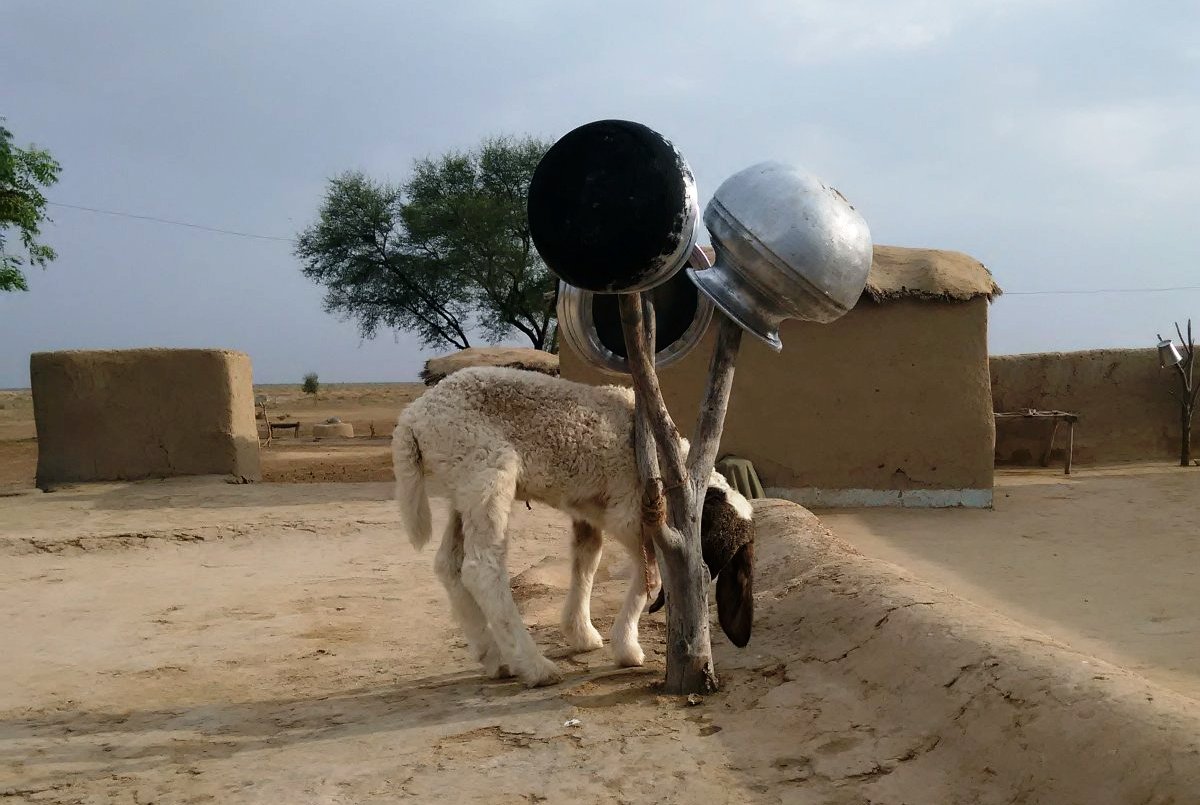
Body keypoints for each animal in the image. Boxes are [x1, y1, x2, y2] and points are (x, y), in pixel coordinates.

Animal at [391, 369, 748, 691]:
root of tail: (411, 418)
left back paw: (493, 657)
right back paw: (534, 667)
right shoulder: (631, 513)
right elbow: (652, 574)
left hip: (461, 488)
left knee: (448, 563)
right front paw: (627, 648)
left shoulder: (588, 509)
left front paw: (581, 633)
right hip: (485, 471)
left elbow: (586, 557)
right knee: (481, 569)